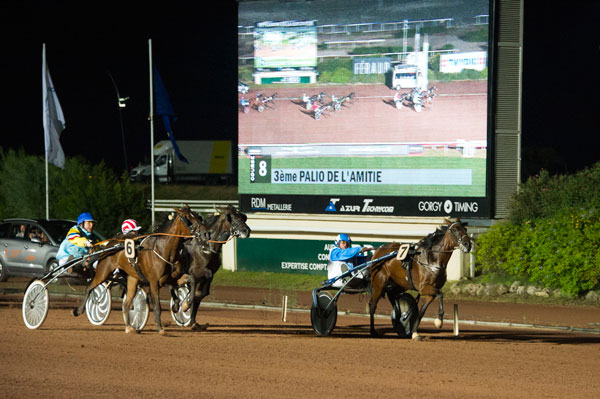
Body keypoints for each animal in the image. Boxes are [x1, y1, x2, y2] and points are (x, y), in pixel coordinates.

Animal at [72, 208, 196, 336]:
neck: (161, 249)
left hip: (132, 279)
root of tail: (109, 245)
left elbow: (191, 280)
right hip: (103, 272)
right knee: (89, 287)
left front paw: (186, 305)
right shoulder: (154, 283)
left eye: (196, 216)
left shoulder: (171, 278)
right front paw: (160, 329)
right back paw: (79, 310)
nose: (198, 231)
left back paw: (129, 327)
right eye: (187, 218)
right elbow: (157, 306)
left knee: (126, 303)